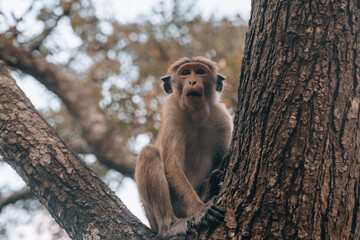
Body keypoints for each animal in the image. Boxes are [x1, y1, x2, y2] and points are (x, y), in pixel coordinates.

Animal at [135, 55, 233, 236]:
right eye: (185, 73)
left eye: (200, 71)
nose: (192, 81)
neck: (196, 117)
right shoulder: (171, 113)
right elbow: (172, 166)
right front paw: (201, 210)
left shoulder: (222, 118)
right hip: (155, 216)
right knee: (149, 153)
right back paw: (170, 226)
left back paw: (209, 189)